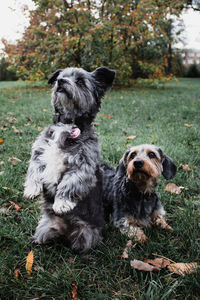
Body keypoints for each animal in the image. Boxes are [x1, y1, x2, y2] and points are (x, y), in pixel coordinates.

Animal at [24, 66, 115, 253]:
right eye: (61, 76)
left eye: (80, 81)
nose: (60, 81)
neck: (66, 125)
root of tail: (65, 231)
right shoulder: (39, 153)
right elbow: (33, 171)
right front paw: (31, 189)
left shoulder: (83, 167)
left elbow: (69, 183)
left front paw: (62, 203)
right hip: (45, 228)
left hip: (86, 235)